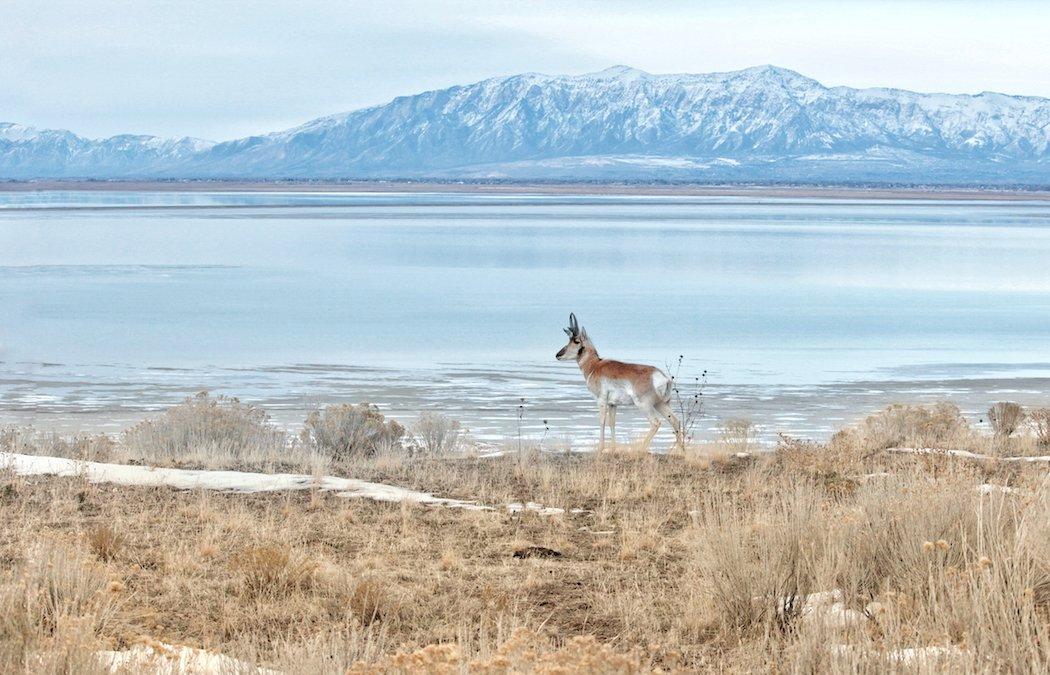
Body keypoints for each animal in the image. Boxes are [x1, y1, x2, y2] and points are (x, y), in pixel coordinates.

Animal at [558, 312, 680, 451]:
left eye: (576, 341)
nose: (558, 355)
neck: (595, 366)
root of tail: (662, 377)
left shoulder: (601, 401)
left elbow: (602, 421)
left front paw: (600, 448)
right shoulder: (613, 404)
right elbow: (612, 422)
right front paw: (613, 448)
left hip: (644, 405)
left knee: (656, 423)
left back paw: (640, 449)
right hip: (661, 404)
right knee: (676, 421)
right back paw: (679, 451)